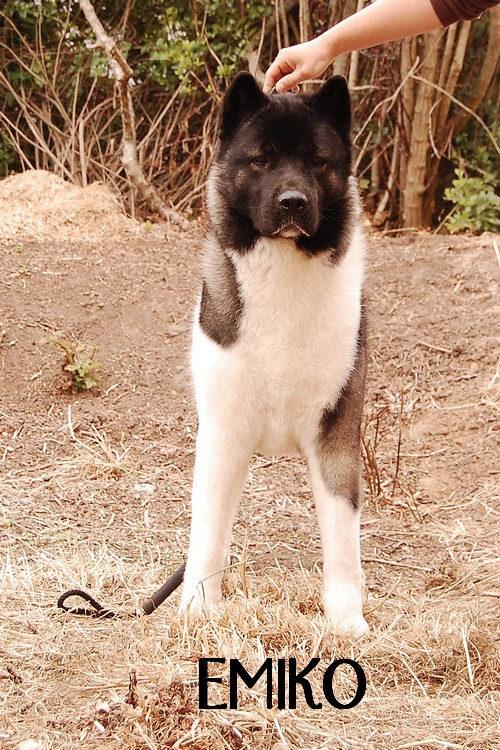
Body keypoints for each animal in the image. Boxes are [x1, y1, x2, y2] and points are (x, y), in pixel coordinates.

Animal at [180, 70, 368, 636]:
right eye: (260, 159)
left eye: (317, 160)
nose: (292, 202)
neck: (283, 271)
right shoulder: (223, 433)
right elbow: (208, 532)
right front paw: (197, 608)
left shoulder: (336, 437)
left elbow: (343, 541)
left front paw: (346, 620)